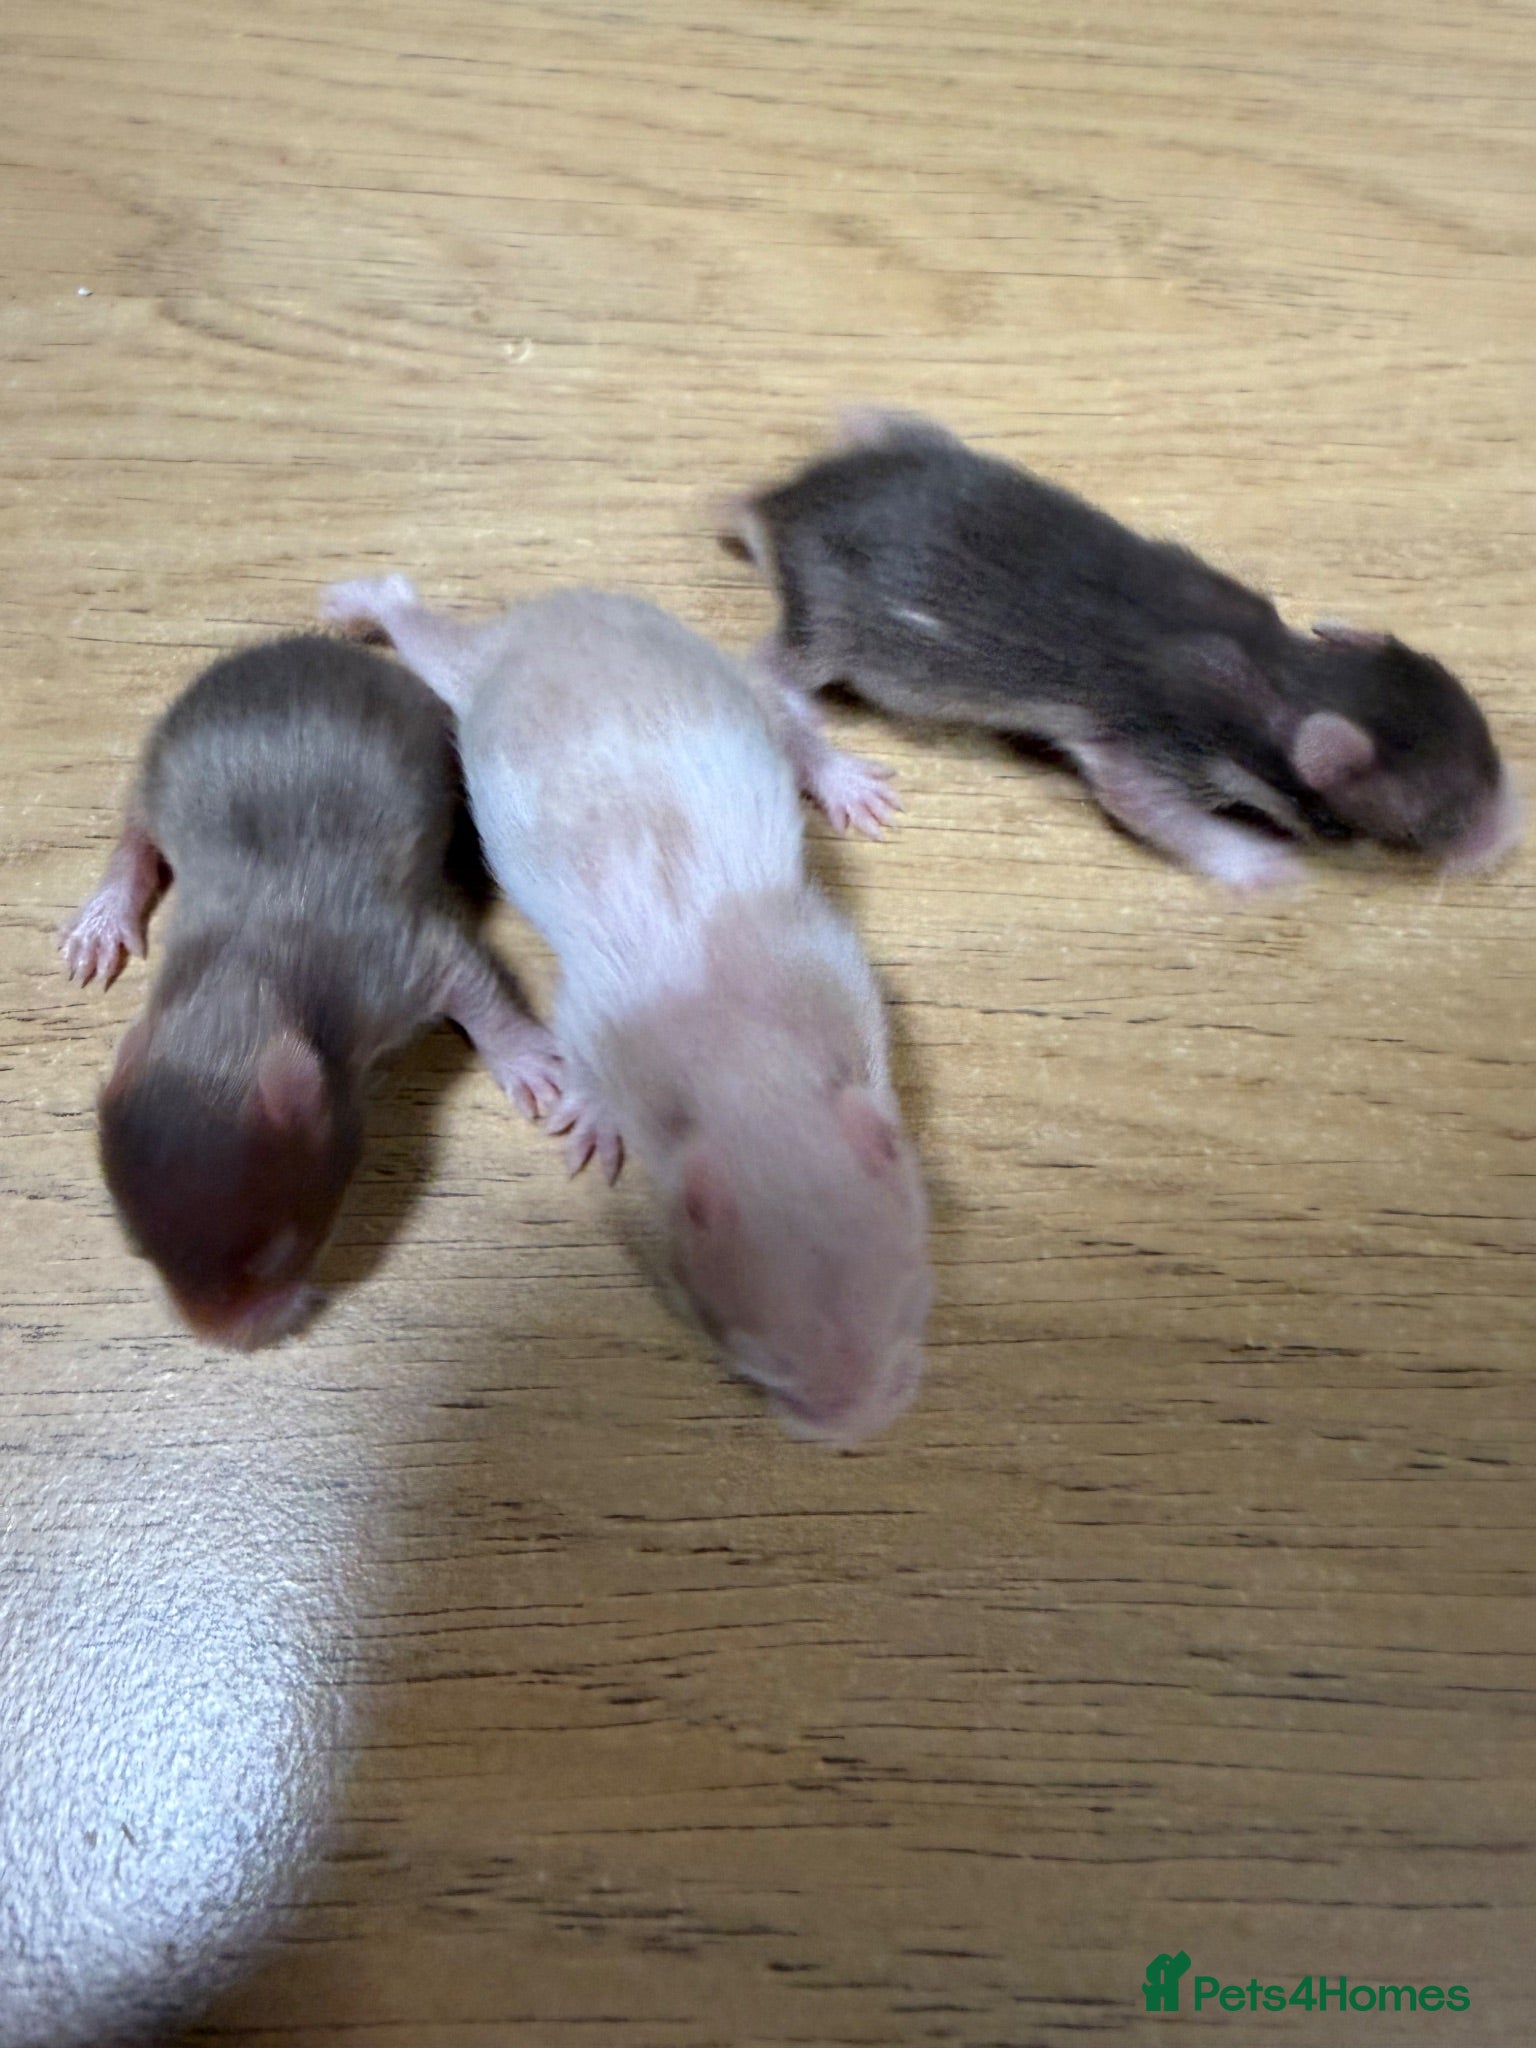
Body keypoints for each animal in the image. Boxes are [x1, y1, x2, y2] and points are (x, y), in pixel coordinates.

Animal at [59, 635, 562, 1348]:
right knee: (135, 832)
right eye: (141, 1250)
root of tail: (304, 645)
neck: (241, 989)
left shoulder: (392, 955)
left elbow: (470, 978)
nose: (224, 1339)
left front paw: (527, 1060)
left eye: (279, 1251)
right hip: (161, 760)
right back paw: (107, 915)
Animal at [320, 577, 931, 1445]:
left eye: (912, 1307)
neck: (744, 1064)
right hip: (476, 682)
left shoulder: (825, 961)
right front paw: (590, 1115)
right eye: (757, 1364)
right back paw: (372, 604)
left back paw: (839, 776)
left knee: (782, 713)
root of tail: (559, 607)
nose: (859, 1426)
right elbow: (581, 1054)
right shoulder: (598, 1012)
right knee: (424, 636)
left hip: (715, 674)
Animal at [729, 410, 1522, 889]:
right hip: (831, 628)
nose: (1512, 833)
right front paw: (1252, 860)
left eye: (1489, 747)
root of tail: (776, 504)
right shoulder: (1151, 746)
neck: (1285, 669)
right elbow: (1142, 804)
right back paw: (838, 774)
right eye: (1439, 826)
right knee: (771, 681)